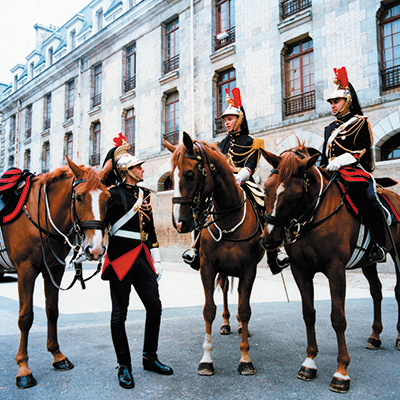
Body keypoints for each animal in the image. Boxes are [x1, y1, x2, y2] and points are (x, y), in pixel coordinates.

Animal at [2, 156, 111, 388]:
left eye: (108, 199)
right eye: (78, 198)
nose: (96, 249)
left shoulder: (54, 268)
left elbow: (52, 311)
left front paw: (57, 355)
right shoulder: (26, 270)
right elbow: (25, 317)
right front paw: (23, 368)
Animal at [164, 131, 264, 376]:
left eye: (190, 174)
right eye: (171, 177)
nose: (178, 222)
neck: (229, 217)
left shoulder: (249, 269)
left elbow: (245, 309)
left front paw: (245, 358)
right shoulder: (208, 268)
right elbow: (209, 310)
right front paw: (206, 359)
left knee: (240, 297)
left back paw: (240, 326)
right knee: (227, 290)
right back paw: (227, 324)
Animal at [258, 145, 398, 394]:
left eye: (294, 194)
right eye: (266, 189)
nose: (268, 239)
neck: (313, 215)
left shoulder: (335, 270)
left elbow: (338, 318)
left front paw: (341, 372)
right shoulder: (300, 271)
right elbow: (308, 313)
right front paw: (309, 363)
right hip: (368, 262)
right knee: (377, 291)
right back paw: (375, 336)